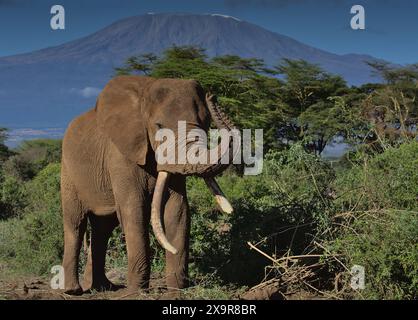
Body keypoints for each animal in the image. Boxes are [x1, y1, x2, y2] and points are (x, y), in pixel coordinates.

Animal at [60, 75, 240, 296]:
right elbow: (133, 211)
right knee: (75, 223)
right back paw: (73, 290)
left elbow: (178, 210)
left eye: (206, 123)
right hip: (68, 173)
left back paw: (102, 287)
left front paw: (177, 291)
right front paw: (134, 293)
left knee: (103, 228)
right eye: (159, 126)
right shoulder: (120, 154)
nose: (212, 96)